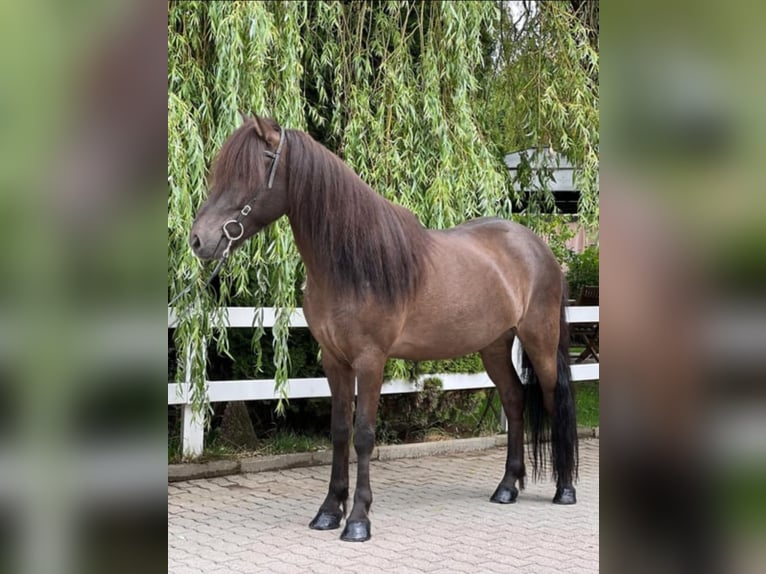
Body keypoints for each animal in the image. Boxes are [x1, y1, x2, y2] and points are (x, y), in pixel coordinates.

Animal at [189, 116, 580, 544]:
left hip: (540, 340)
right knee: (513, 399)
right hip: (494, 345)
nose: (199, 240)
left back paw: (565, 489)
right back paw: (507, 487)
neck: (352, 264)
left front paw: (358, 520)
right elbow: (339, 430)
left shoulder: (370, 359)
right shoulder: (335, 360)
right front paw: (329, 511)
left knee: (554, 398)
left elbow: (363, 434)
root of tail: (538, 248)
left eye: (251, 171)